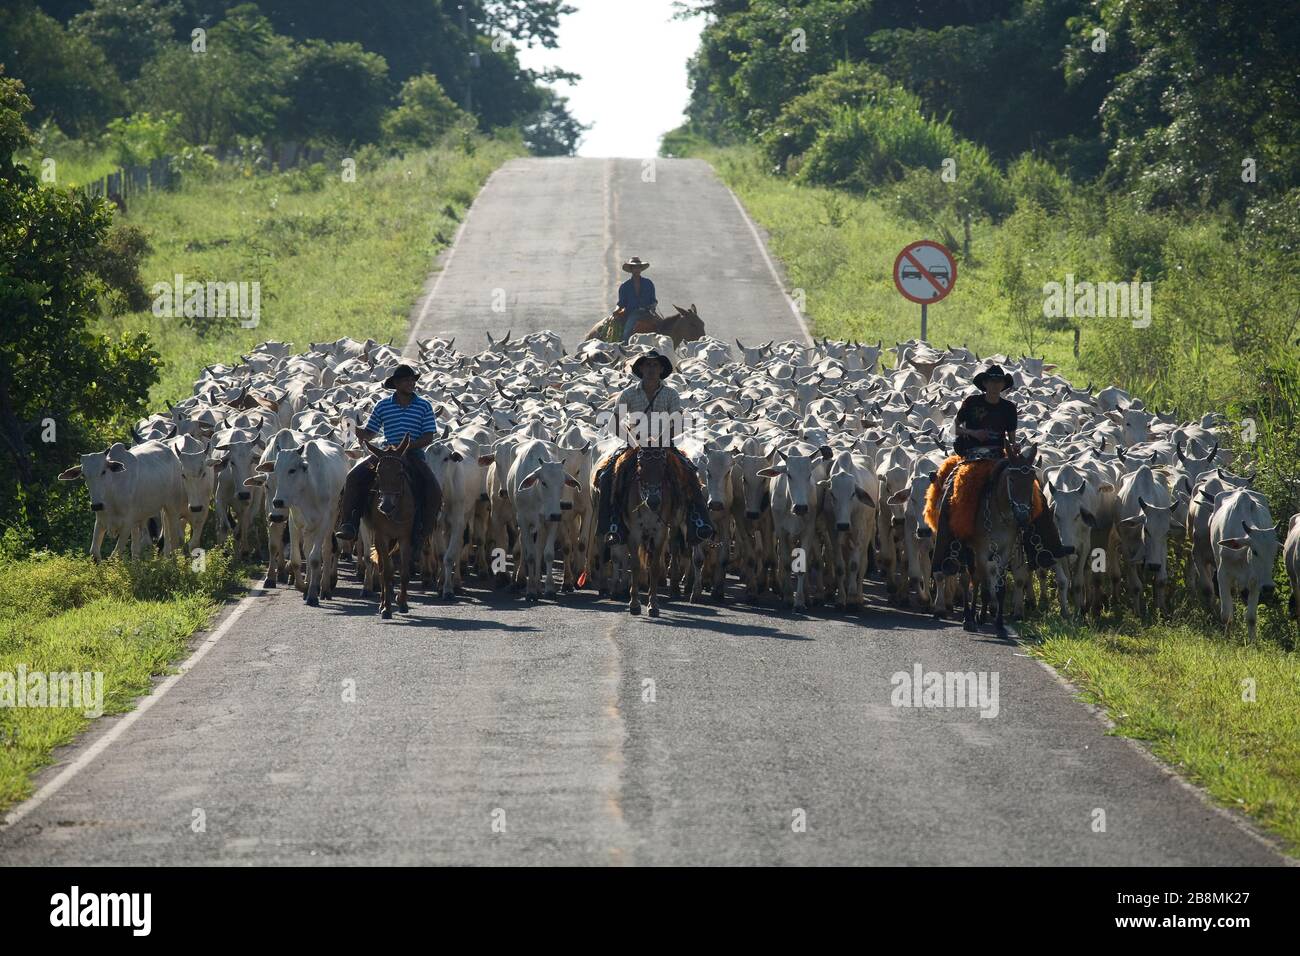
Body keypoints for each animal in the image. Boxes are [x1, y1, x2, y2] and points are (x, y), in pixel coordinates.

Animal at [358, 439, 413, 621]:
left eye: (400, 472)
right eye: (378, 472)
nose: (385, 506)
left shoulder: (405, 537)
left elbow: (404, 571)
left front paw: (403, 603)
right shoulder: (382, 536)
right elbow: (387, 572)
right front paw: (387, 608)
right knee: (382, 567)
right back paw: (382, 602)